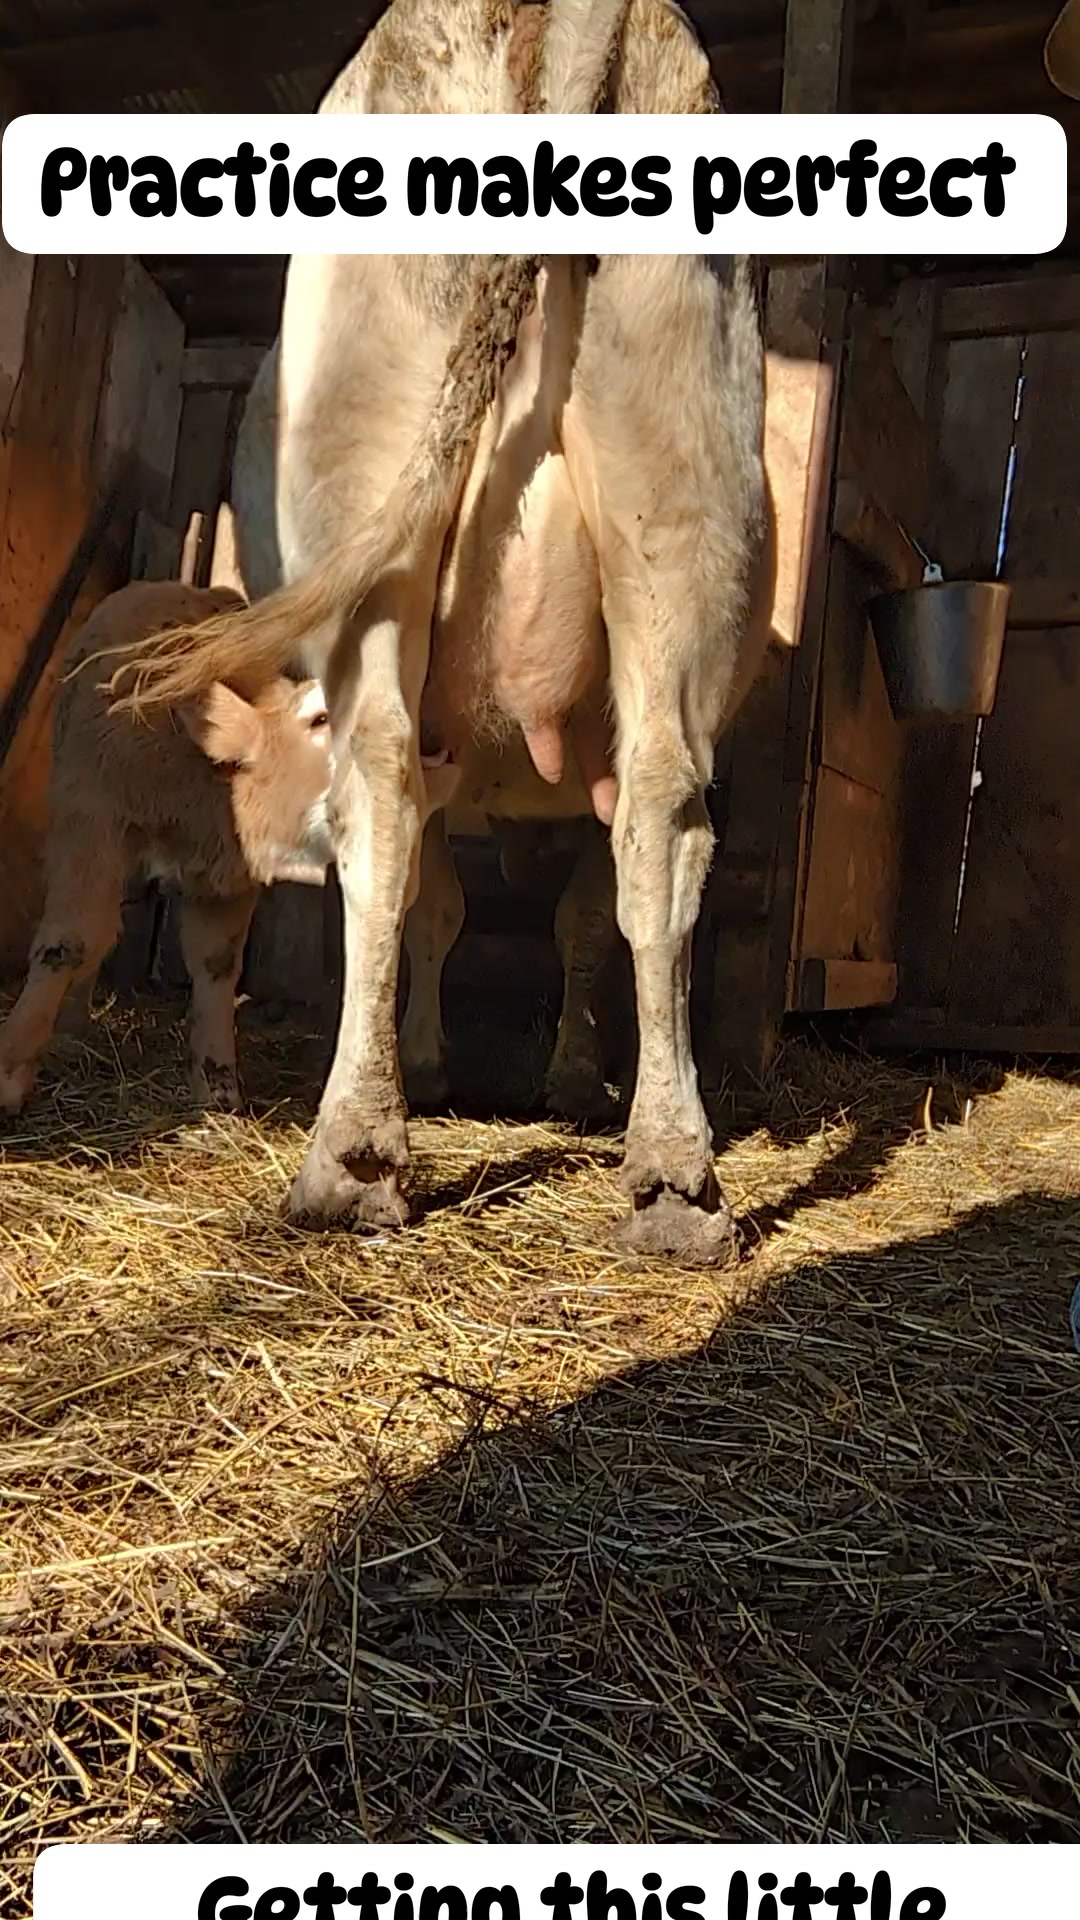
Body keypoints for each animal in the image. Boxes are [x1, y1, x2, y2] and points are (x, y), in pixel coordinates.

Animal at [0, 581, 335, 1116]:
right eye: (320, 718)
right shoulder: (88, 820)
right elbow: (69, 941)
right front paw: (10, 1071)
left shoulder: (229, 873)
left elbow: (217, 962)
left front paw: (218, 1083)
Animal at [112, 0, 775, 1266]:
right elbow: (570, 916)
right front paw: (570, 1080)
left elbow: (437, 906)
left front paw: (430, 1062)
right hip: (681, 493)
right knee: (665, 817)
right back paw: (674, 1180)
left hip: (365, 490)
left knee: (374, 807)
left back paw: (354, 1157)